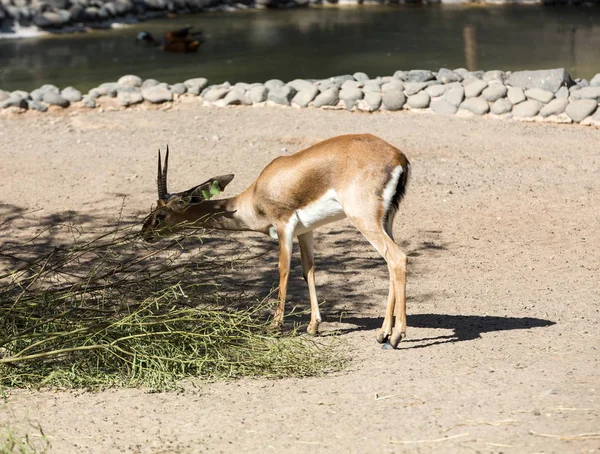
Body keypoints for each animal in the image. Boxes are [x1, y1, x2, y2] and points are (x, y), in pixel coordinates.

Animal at [143, 133, 410, 350]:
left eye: (160, 214)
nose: (144, 232)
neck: (254, 198)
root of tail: (399, 157)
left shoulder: (284, 225)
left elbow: (284, 269)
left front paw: (275, 325)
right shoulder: (305, 231)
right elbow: (308, 271)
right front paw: (313, 326)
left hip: (363, 219)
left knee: (397, 257)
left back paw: (396, 336)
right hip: (385, 221)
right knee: (390, 263)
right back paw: (383, 334)